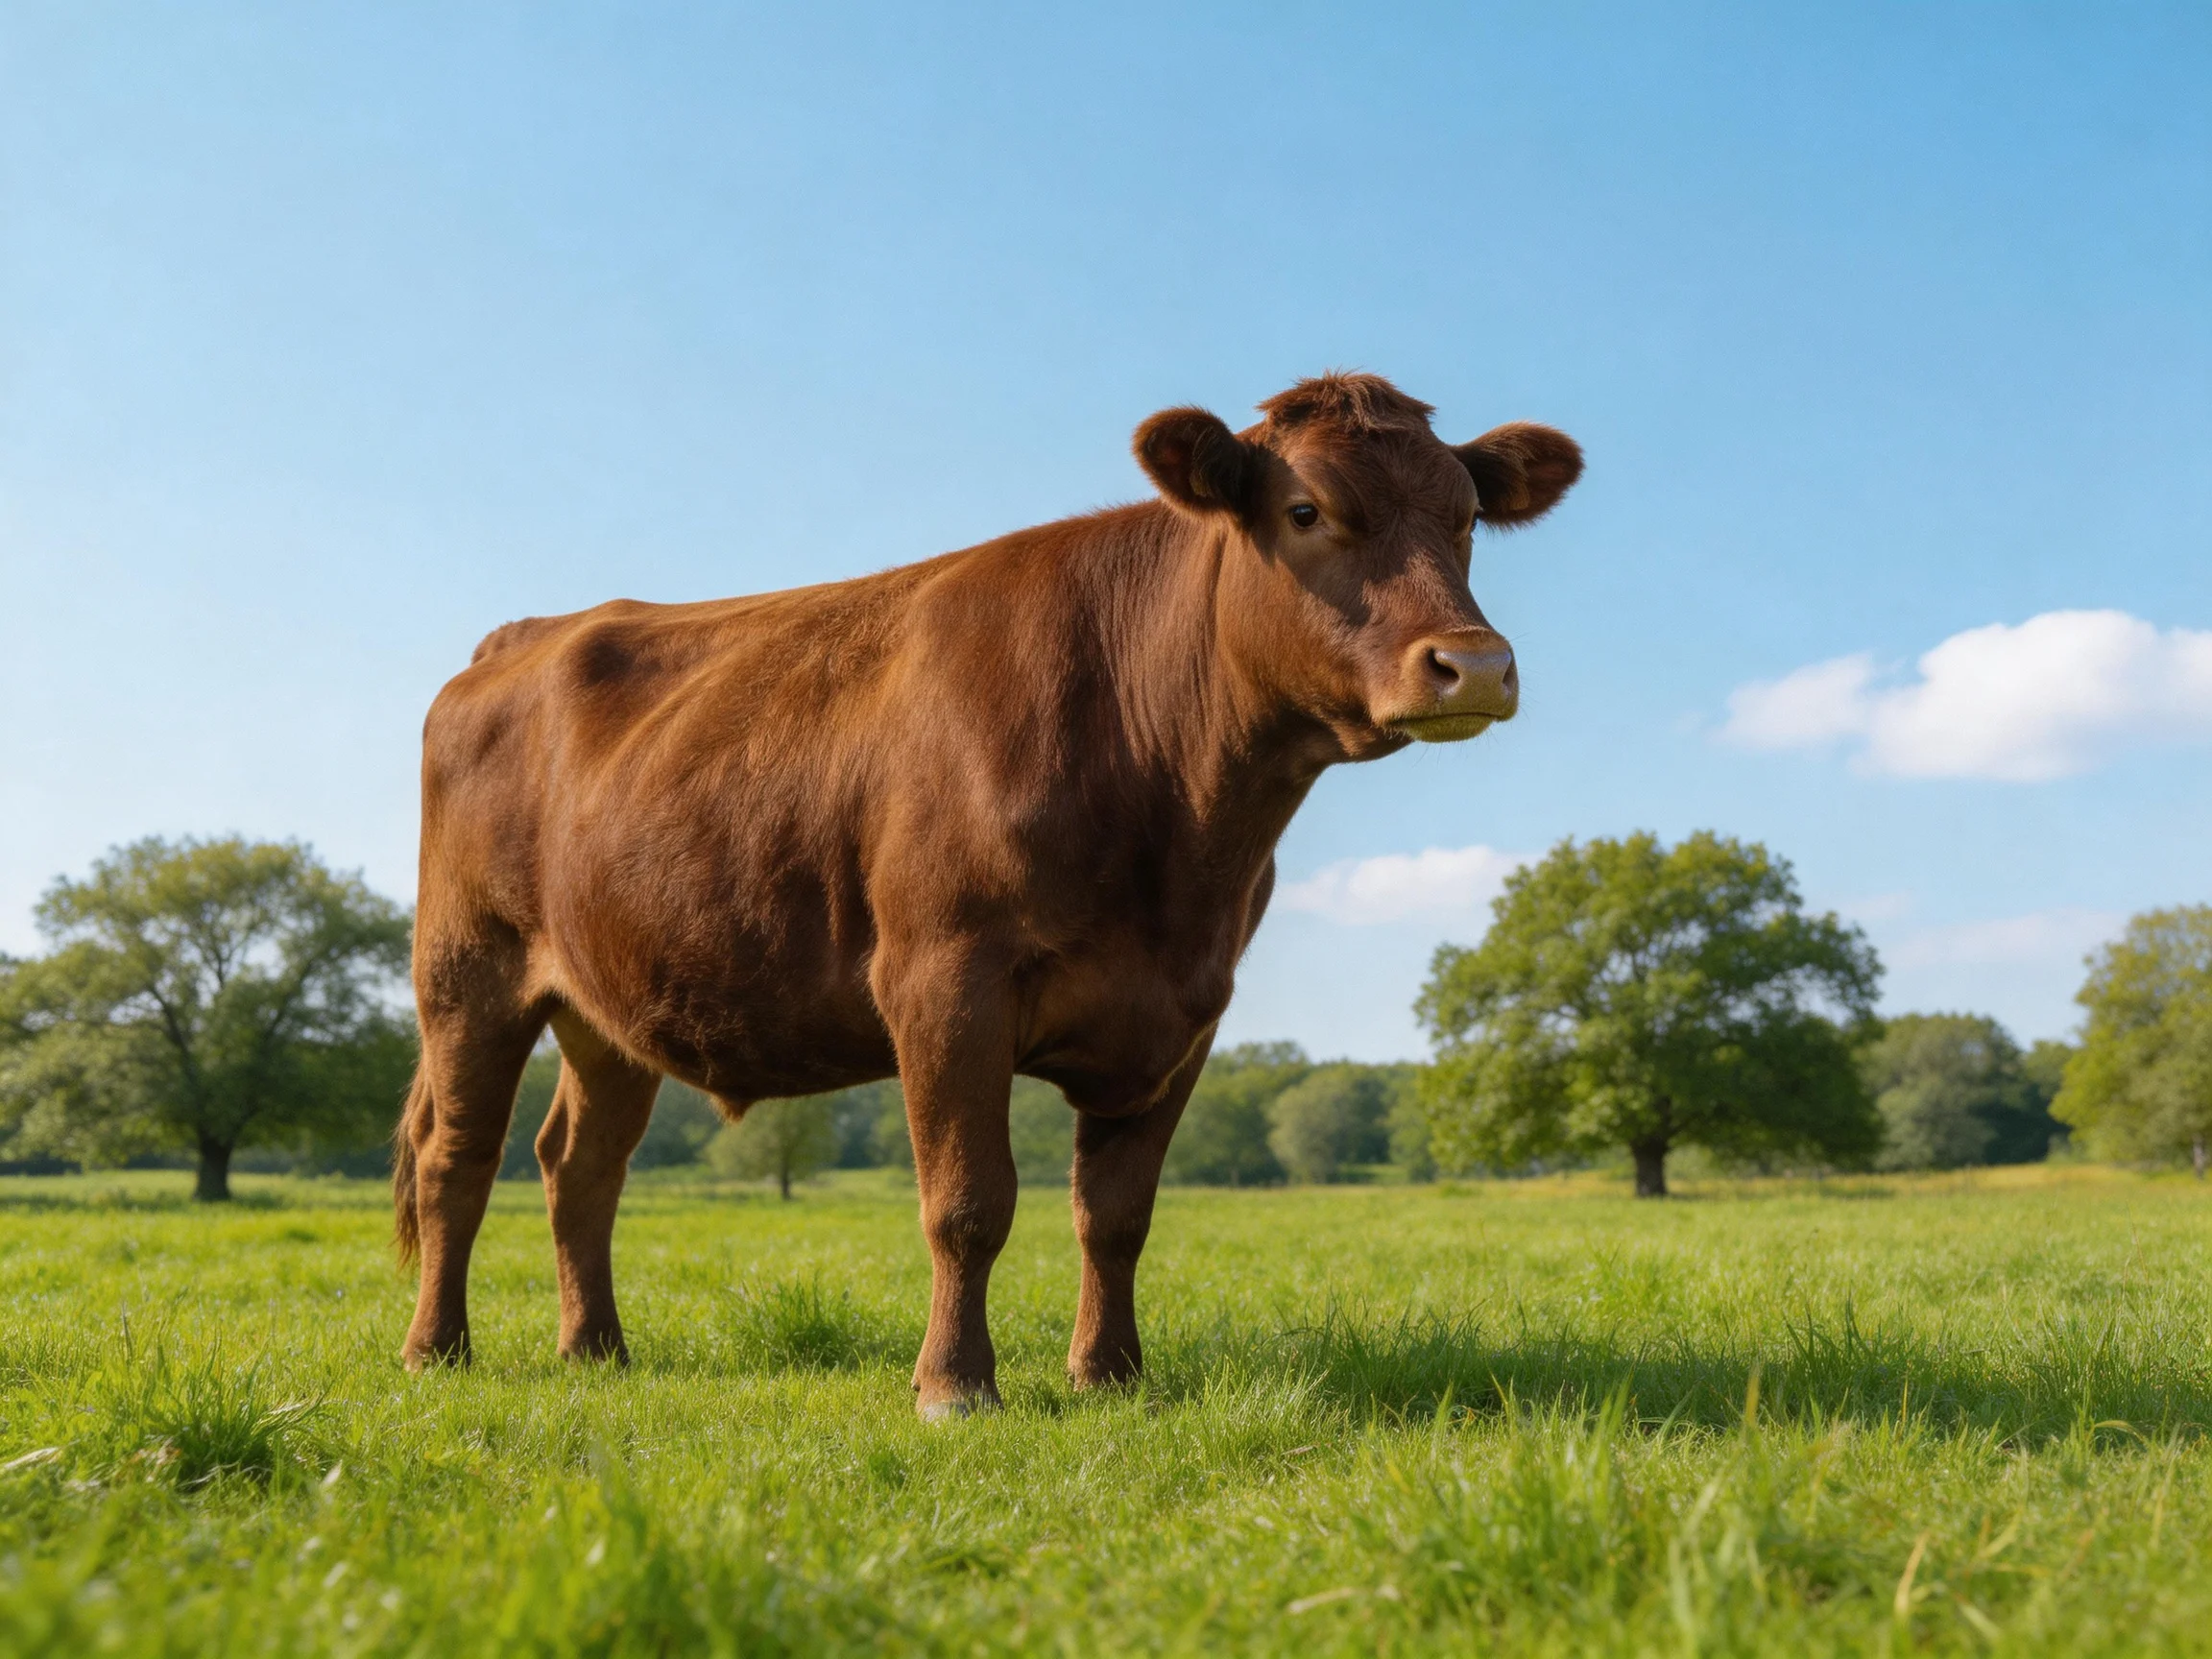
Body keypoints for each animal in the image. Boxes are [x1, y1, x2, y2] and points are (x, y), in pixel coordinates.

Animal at [392, 372, 1581, 1417]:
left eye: (1467, 519)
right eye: (1306, 509)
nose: (1474, 664)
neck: (1179, 836)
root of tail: (525, 635)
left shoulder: (1187, 1010)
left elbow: (1117, 1215)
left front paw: (1111, 1374)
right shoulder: (944, 979)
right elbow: (969, 1204)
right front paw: (956, 1386)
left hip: (611, 1007)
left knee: (579, 1166)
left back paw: (596, 1349)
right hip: (468, 973)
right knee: (460, 1159)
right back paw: (436, 1351)